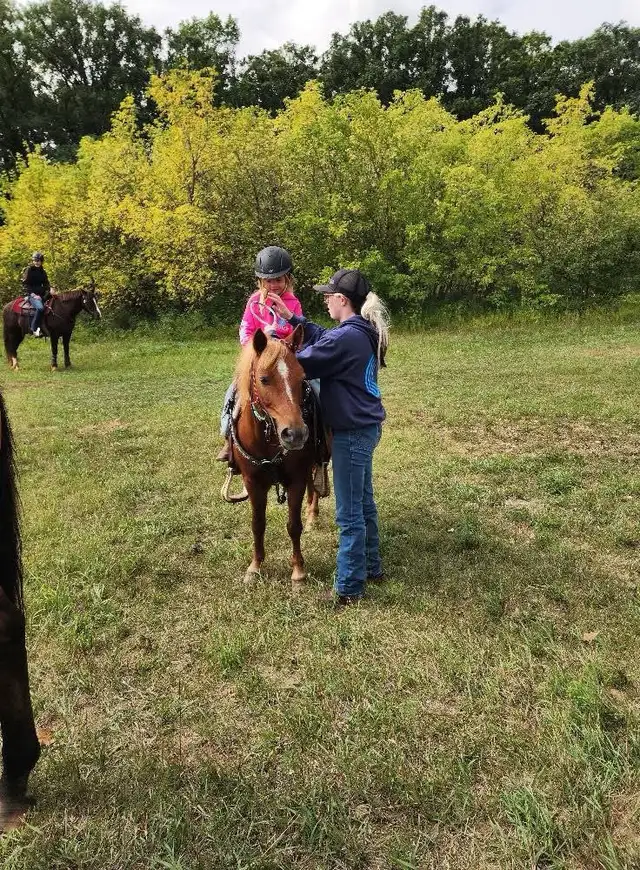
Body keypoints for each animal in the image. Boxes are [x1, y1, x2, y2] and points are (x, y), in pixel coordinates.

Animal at [228, 326, 323, 586]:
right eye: (264, 379)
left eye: (301, 378)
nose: (296, 433)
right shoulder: (253, 482)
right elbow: (257, 524)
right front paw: (255, 567)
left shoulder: (296, 479)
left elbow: (293, 525)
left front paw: (298, 571)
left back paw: (312, 516)